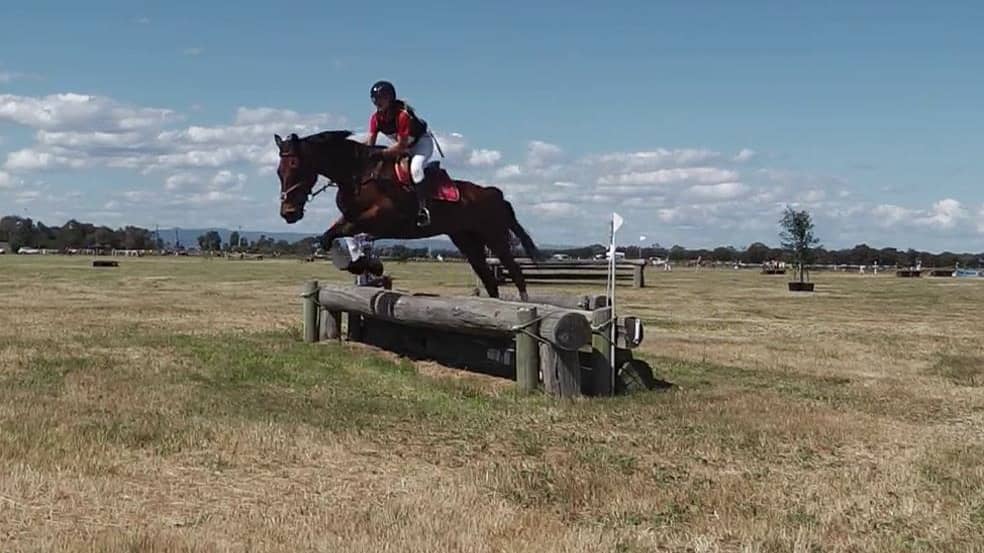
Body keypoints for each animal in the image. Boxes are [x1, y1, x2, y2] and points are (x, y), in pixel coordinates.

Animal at [274, 130, 541, 300]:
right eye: (278, 171)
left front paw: (368, 265)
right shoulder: (352, 218)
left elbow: (352, 234)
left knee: (515, 273)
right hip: (467, 241)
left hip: (494, 237)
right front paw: (361, 264)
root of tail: (494, 194)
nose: (288, 213)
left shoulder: (382, 218)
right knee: (489, 279)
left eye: (295, 165)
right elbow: (333, 236)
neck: (358, 174)